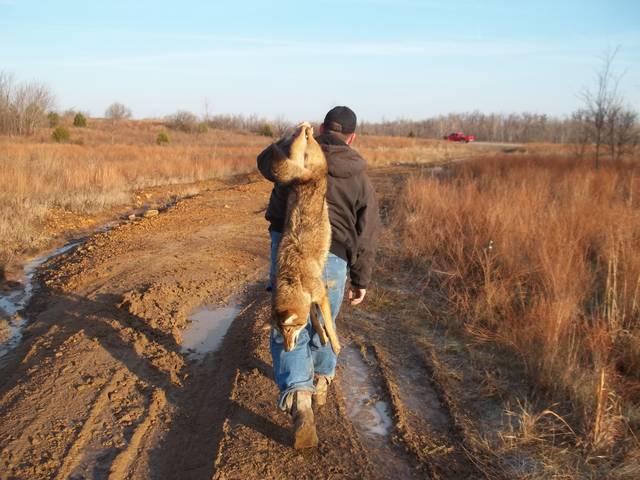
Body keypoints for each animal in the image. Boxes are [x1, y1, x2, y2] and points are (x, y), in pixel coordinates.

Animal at [270, 122, 341, 356]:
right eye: (279, 332)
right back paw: (304, 127)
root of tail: (305, 178)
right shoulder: (310, 303)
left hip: (313, 157)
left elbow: (329, 323)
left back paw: (305, 128)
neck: (294, 279)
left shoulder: (322, 297)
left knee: (304, 137)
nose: (287, 349)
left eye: (289, 330)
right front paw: (322, 336)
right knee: (299, 142)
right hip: (297, 155)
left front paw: (335, 345)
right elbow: (316, 321)